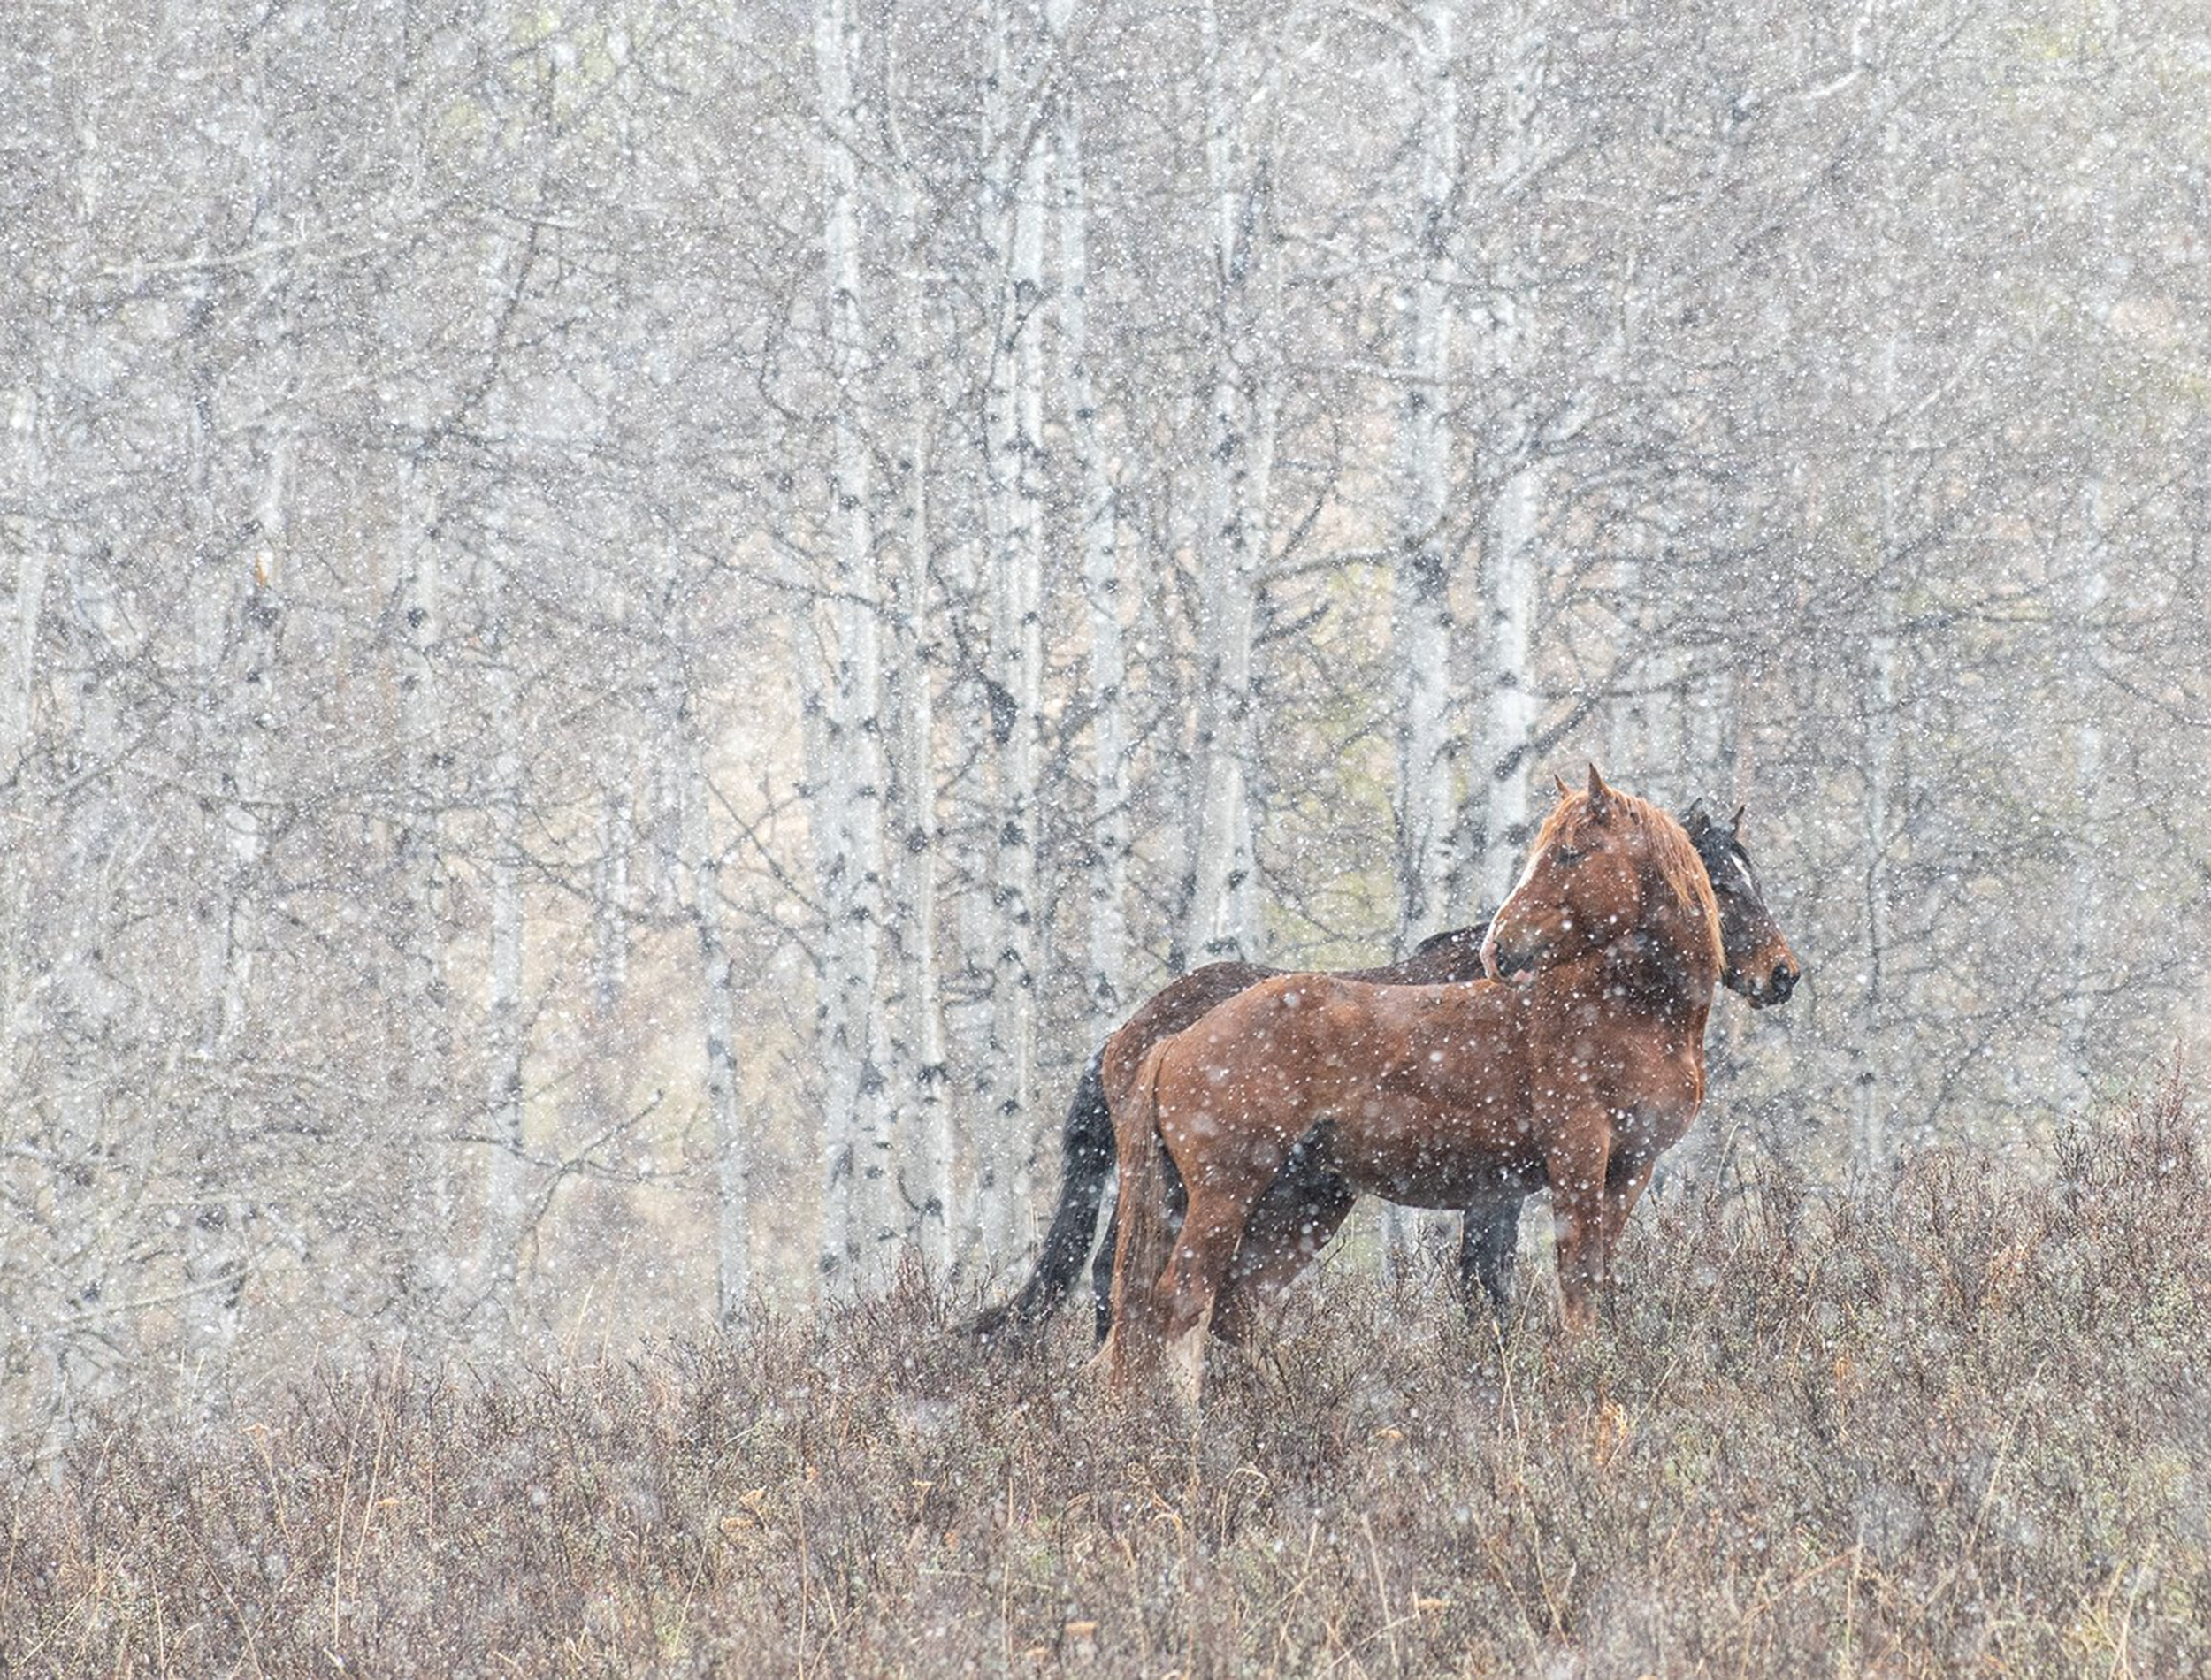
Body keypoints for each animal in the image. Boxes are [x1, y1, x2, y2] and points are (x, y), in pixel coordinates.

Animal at [968, 799, 1797, 1346]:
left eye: (1753, 874)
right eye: (1721, 882)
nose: (1781, 974)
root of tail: (1133, 1032)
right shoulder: (1505, 1189)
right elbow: (1489, 1283)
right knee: (1124, 1282)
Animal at [1104, 768, 1728, 1400]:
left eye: (1571, 852)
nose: (1497, 950)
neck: (1626, 1009)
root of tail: (1177, 1040)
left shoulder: (1631, 1166)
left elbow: (1596, 1276)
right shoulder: (1578, 1154)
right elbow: (1576, 1281)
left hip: (1300, 1206)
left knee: (1232, 1307)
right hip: (1225, 1195)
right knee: (1183, 1301)